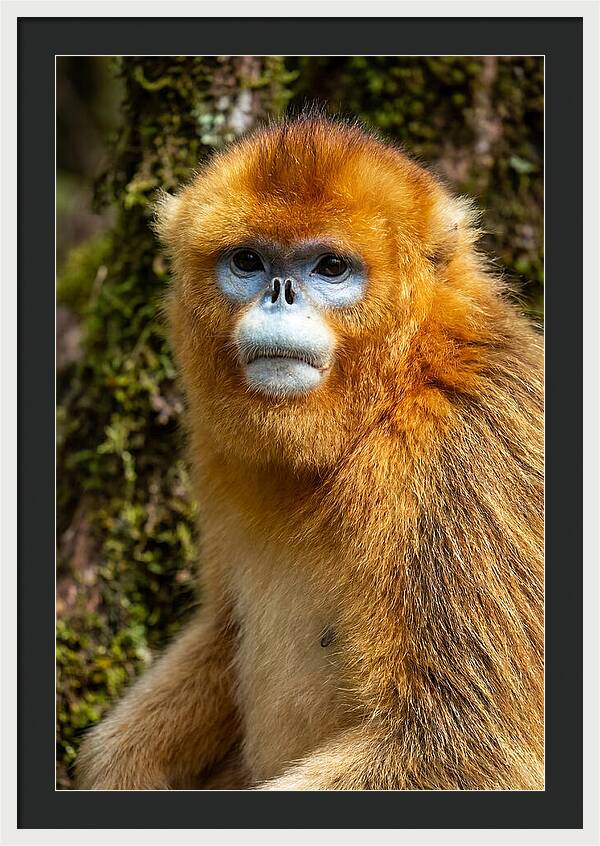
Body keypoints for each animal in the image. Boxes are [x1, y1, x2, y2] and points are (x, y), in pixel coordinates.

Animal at [76, 115, 544, 791]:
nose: (280, 292)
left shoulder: (465, 454)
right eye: (248, 260)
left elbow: (466, 749)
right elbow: (222, 629)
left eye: (329, 267)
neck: (393, 395)